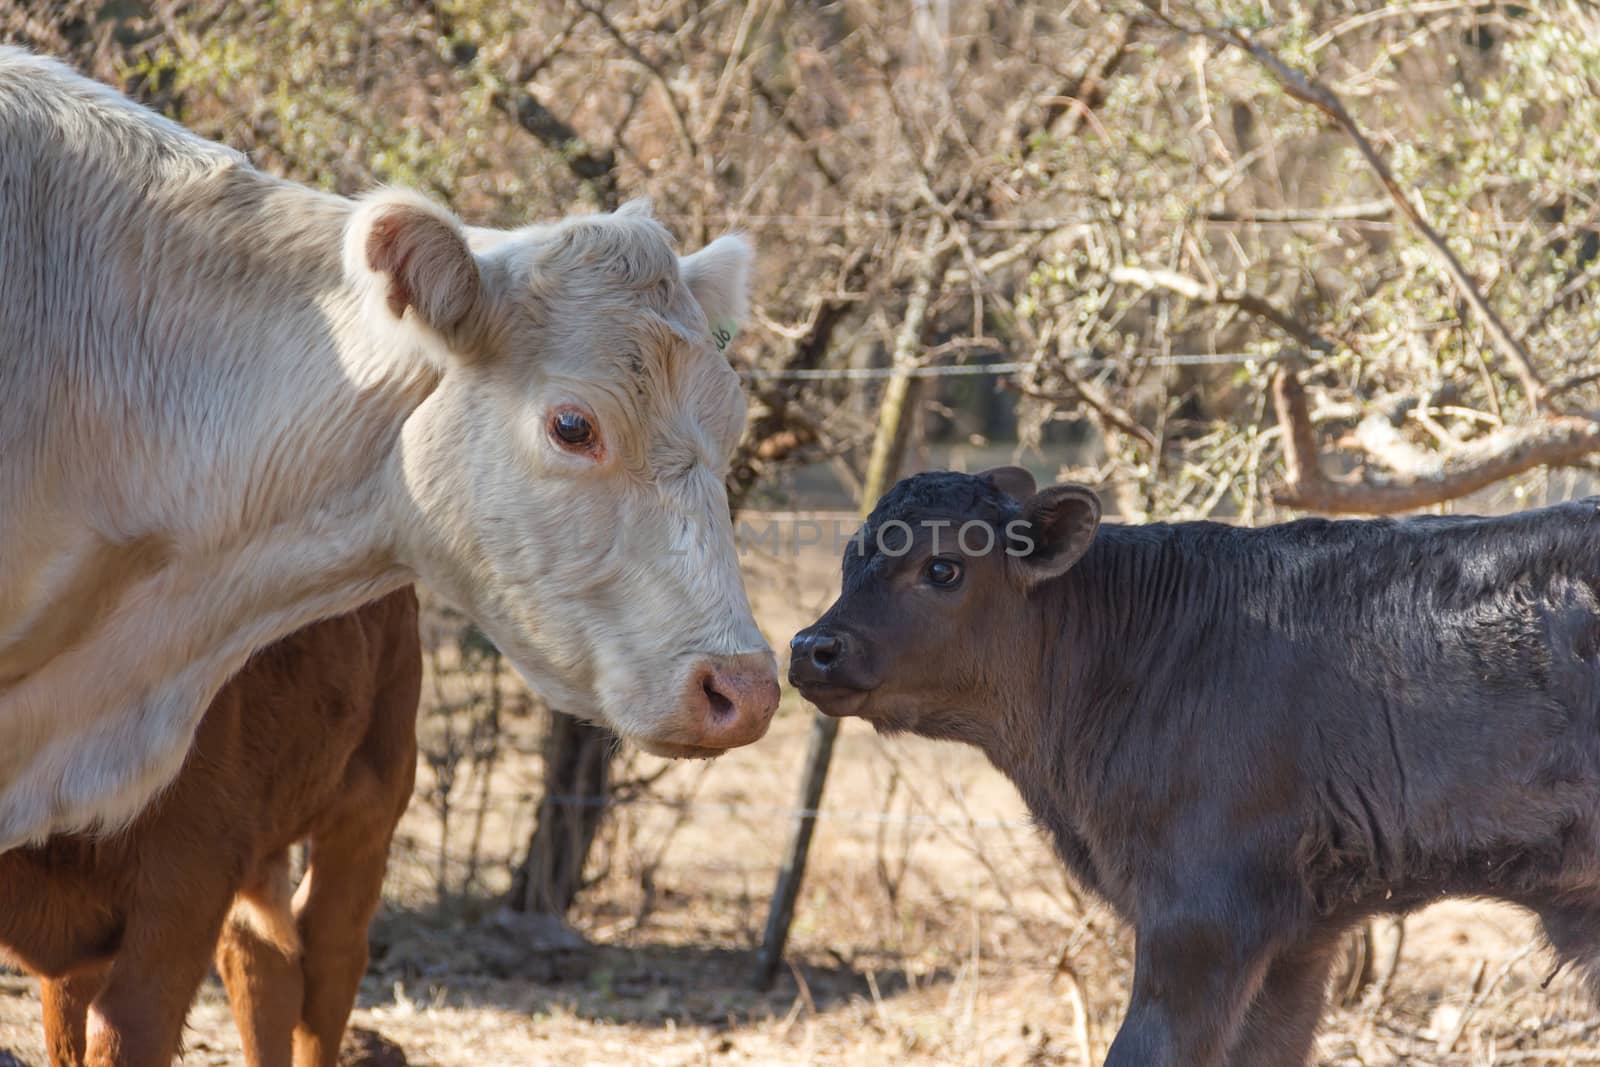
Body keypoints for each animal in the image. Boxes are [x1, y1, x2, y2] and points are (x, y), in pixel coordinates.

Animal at [0, 591, 422, 1067]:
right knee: (261, 964)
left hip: (374, 798)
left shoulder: (183, 886)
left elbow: (127, 1032)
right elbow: (69, 1026)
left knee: (331, 957)